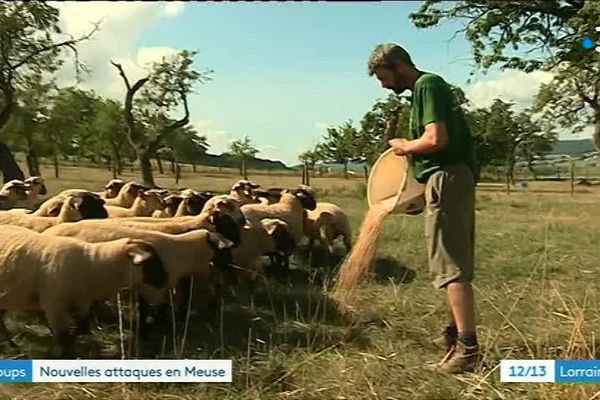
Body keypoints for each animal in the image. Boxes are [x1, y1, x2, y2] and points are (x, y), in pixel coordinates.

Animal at [0, 223, 169, 358]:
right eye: (150, 262)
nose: (165, 280)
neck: (92, 264)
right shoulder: (54, 304)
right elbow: (62, 335)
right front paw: (62, 354)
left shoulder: (80, 302)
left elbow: (83, 327)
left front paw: (69, 344)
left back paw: (11, 344)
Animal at [42, 223, 233, 340]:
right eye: (224, 250)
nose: (230, 268)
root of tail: (48, 232)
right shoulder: (151, 289)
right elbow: (148, 310)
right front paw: (145, 332)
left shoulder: (156, 287)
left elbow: (155, 308)